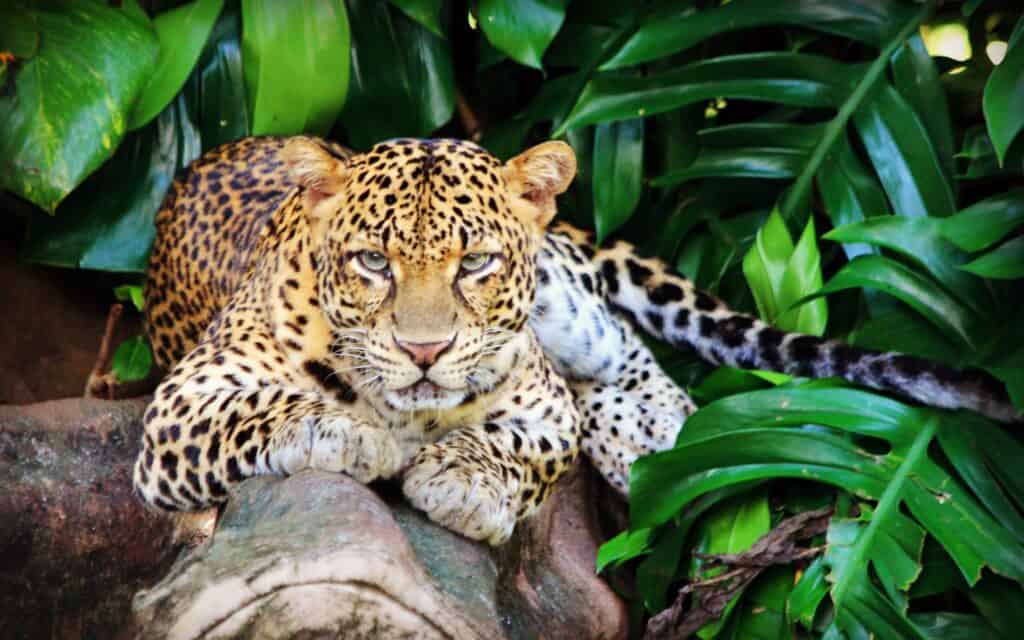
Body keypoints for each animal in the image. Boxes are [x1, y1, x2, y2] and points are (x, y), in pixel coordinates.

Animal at [135, 134, 1019, 547]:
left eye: (477, 263)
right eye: (373, 263)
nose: (424, 353)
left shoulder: (541, 404)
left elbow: (521, 448)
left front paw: (462, 482)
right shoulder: (176, 408)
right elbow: (261, 411)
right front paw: (346, 432)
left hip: (571, 313)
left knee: (624, 344)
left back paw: (662, 436)